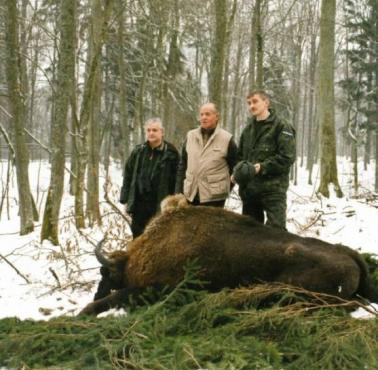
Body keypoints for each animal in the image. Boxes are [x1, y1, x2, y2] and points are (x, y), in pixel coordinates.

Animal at [79, 195, 378, 314]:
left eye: (105, 274)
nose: (94, 295)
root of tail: (349, 254)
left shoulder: (159, 289)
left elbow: (118, 296)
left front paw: (85, 311)